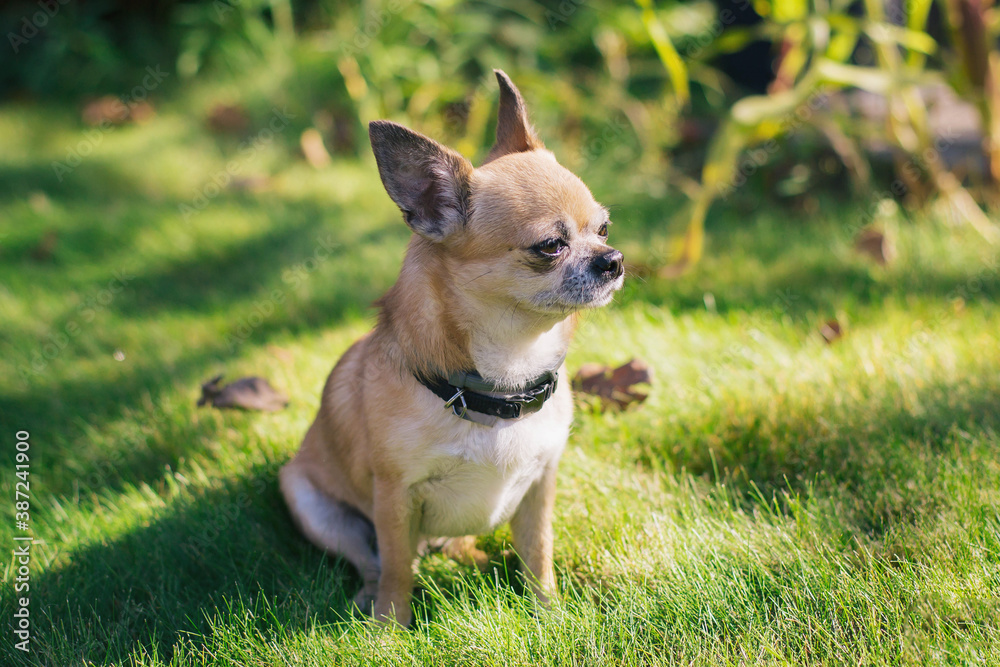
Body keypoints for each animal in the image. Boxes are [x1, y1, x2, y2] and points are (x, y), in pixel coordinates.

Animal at [282, 69, 620, 628]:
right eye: (550, 246)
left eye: (604, 228)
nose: (614, 260)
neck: (504, 378)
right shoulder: (394, 498)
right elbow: (397, 565)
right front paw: (390, 627)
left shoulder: (540, 488)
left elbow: (539, 553)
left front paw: (549, 613)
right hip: (311, 502)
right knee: (371, 559)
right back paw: (369, 602)